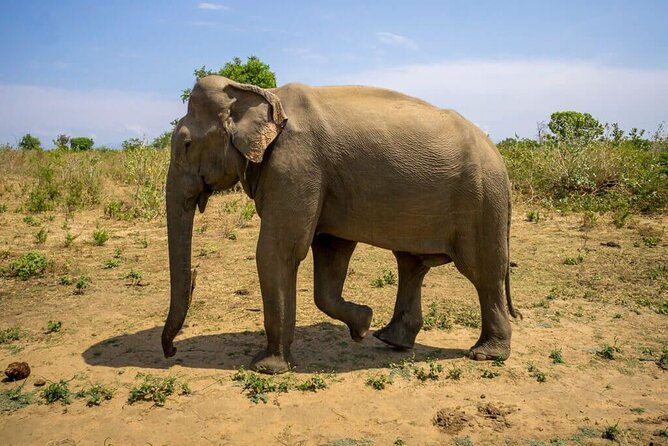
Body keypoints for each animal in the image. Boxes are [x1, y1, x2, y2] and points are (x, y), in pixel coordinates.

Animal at [162, 75, 521, 374]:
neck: (263, 94)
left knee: (483, 271)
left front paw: (266, 368)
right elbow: (330, 252)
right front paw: (362, 324)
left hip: (481, 201)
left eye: (186, 145)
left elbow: (279, 251)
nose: (172, 351)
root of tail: (499, 156)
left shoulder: (296, 165)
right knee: (412, 265)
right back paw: (390, 339)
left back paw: (485, 354)